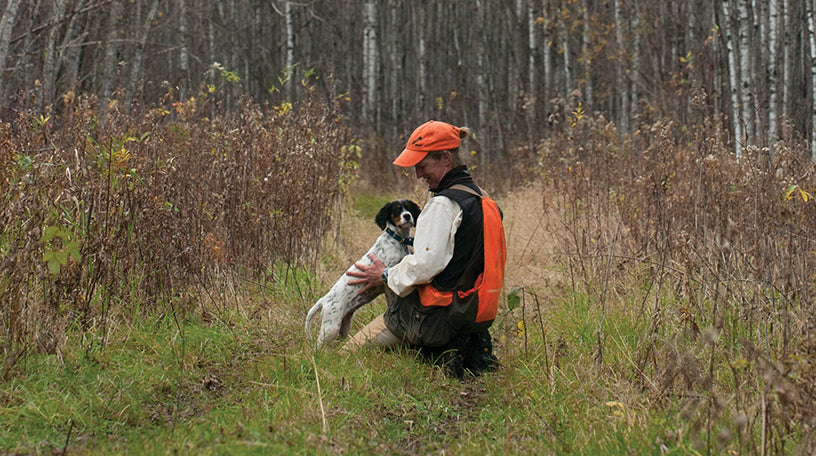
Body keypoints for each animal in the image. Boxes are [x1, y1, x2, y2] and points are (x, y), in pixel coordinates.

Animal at [304, 200, 420, 346]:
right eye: (397, 210)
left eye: (409, 208)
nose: (407, 216)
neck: (397, 240)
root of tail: (324, 300)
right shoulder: (387, 281)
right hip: (330, 327)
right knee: (317, 347)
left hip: (343, 326)